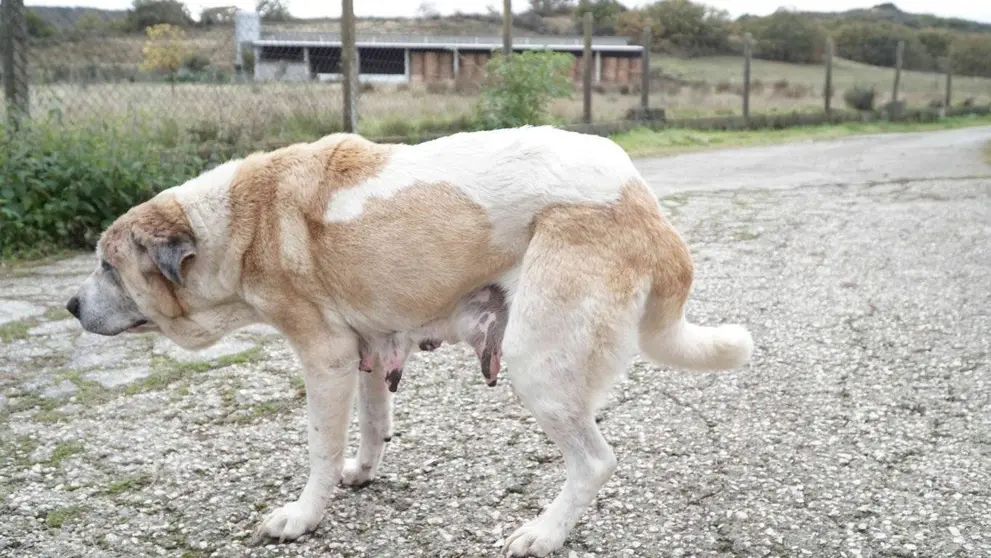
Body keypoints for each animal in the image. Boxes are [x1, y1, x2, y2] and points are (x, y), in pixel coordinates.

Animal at [68, 127, 752, 558]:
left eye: (106, 266)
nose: (70, 306)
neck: (236, 222)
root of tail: (645, 205)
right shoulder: (367, 349)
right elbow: (372, 426)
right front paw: (362, 474)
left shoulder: (324, 358)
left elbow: (318, 448)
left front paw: (303, 518)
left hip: (535, 363)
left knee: (595, 461)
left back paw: (545, 533)